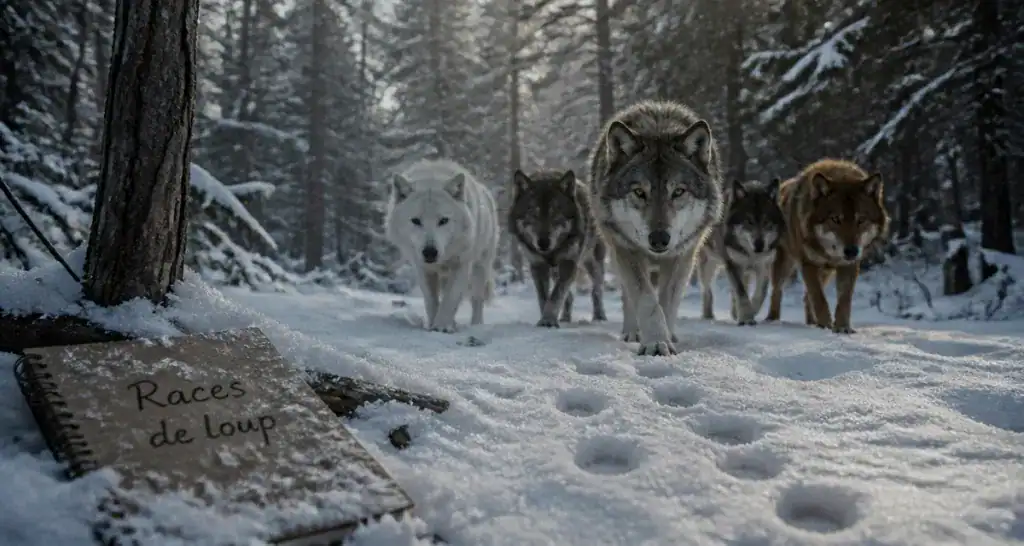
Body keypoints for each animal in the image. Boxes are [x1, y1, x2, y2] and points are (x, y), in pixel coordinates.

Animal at [385, 159, 500, 333]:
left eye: (443, 220)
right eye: (416, 221)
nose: (430, 252)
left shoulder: (462, 264)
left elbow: (451, 298)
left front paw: (442, 327)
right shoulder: (422, 267)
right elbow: (431, 300)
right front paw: (434, 325)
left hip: (481, 267)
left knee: (477, 300)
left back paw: (476, 326)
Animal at [507, 169, 607, 327]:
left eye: (555, 213)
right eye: (533, 213)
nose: (543, 243)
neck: (550, 253)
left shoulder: (569, 263)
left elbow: (556, 296)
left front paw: (548, 320)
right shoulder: (537, 266)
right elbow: (544, 297)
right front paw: (545, 320)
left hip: (594, 263)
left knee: (597, 290)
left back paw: (599, 316)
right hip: (555, 271)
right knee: (570, 296)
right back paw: (565, 318)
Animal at [588, 100, 725, 356]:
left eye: (678, 191)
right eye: (639, 192)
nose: (659, 239)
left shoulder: (684, 254)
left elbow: (667, 303)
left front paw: (667, 338)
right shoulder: (626, 249)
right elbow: (646, 301)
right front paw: (655, 343)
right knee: (627, 297)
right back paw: (632, 332)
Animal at [697, 177, 786, 325]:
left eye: (766, 222)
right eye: (748, 221)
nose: (759, 245)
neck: (751, 254)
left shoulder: (764, 266)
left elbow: (760, 294)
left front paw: (751, 312)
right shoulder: (733, 264)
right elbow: (741, 293)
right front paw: (747, 317)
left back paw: (734, 313)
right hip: (709, 266)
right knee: (707, 290)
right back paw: (708, 315)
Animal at [765, 158, 890, 333]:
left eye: (861, 220)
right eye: (836, 219)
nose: (852, 251)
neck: (829, 253)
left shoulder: (849, 266)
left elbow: (844, 300)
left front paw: (842, 328)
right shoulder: (807, 264)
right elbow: (819, 299)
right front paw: (825, 325)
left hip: (825, 272)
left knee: (806, 297)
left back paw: (812, 322)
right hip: (784, 264)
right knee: (777, 290)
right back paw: (772, 320)